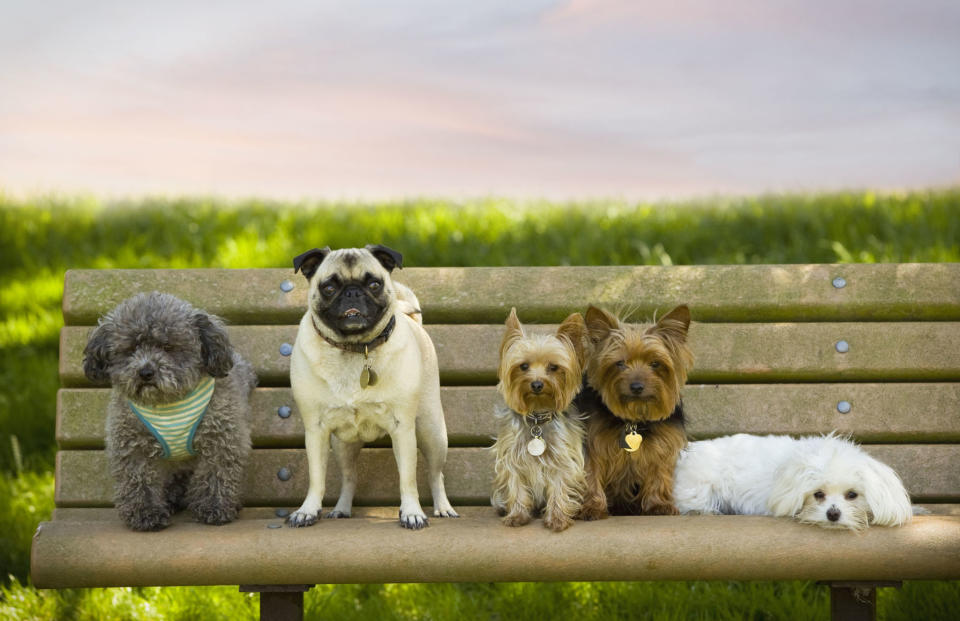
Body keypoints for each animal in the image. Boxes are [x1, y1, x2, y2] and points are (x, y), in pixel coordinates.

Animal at [84, 290, 255, 528]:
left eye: (168, 347)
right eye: (131, 349)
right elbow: (139, 480)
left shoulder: (222, 440)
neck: (168, 403)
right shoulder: (131, 446)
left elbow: (216, 475)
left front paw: (214, 507)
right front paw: (145, 513)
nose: (145, 372)